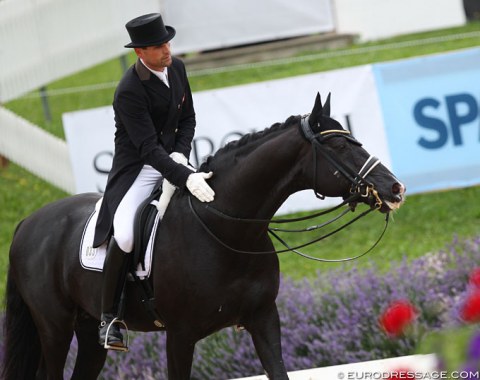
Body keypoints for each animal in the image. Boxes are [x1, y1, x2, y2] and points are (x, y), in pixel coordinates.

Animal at [1, 93, 404, 380]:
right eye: (340, 147)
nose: (395, 189)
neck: (229, 230)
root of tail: (27, 223)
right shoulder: (179, 335)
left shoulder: (263, 318)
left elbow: (279, 372)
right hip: (54, 327)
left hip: (88, 333)